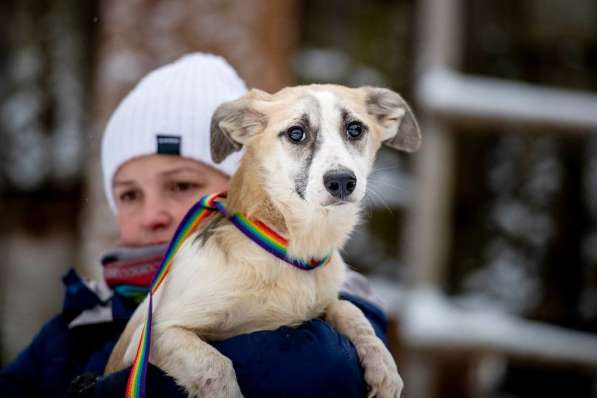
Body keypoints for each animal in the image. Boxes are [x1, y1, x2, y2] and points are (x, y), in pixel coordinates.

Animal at [108, 82, 424, 396]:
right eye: (296, 132)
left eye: (355, 129)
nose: (342, 181)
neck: (291, 251)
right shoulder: (155, 333)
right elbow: (215, 365)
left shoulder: (324, 303)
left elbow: (351, 309)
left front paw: (384, 367)